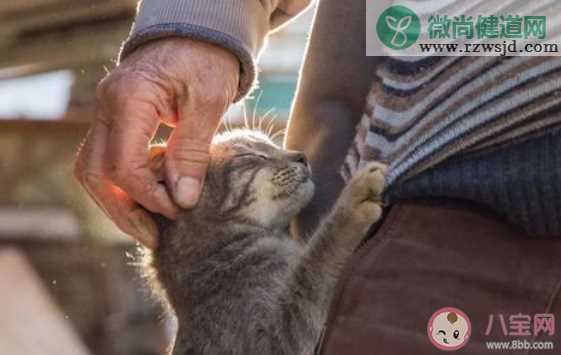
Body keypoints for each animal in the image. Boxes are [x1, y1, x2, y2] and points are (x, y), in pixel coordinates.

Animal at [144, 129, 384, 354]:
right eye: (251, 155)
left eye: (272, 144)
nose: (302, 156)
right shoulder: (269, 341)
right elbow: (315, 265)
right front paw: (352, 200)